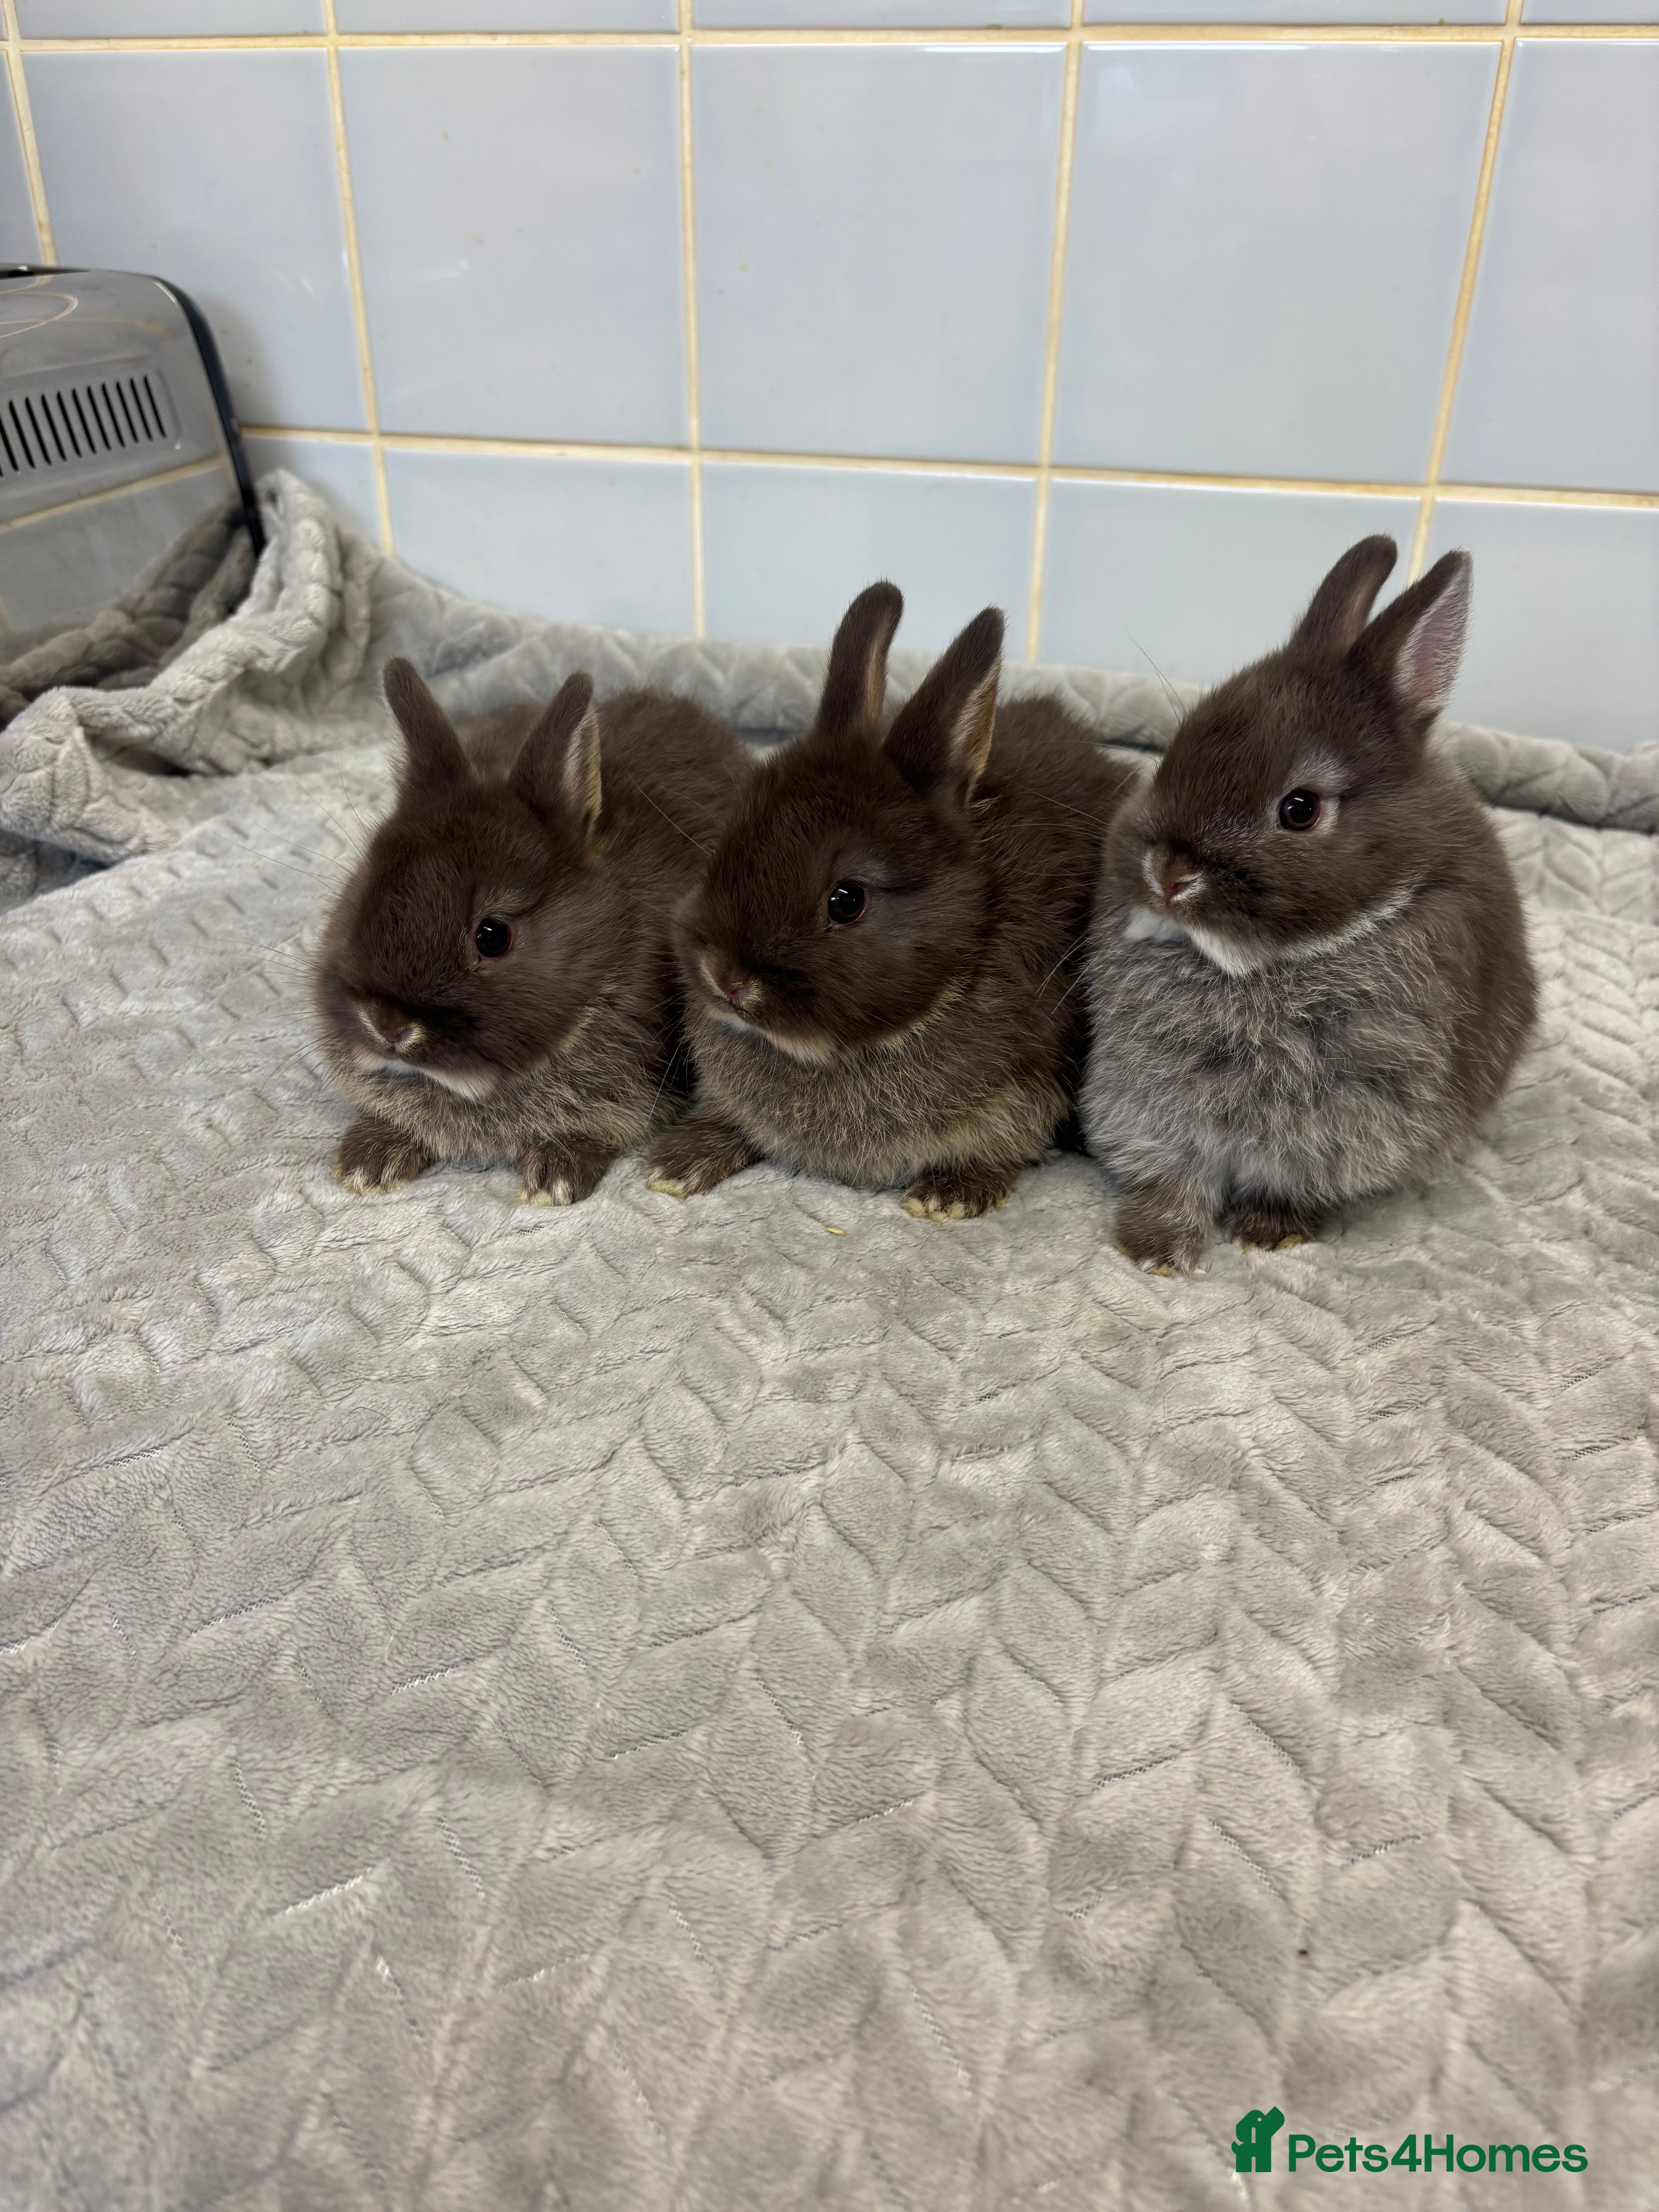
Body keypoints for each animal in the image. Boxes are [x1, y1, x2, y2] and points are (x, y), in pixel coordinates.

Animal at [644, 580, 1135, 1219]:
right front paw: (677, 1164)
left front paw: (950, 1196)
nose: (725, 979)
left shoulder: (1027, 1087)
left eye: (846, 900)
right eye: (730, 841)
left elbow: (1004, 1145)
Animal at [1080, 535, 1537, 1273]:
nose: (1168, 874)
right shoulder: (1148, 1101)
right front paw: (1154, 1248)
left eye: (1299, 809)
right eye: (1174, 752)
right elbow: (1172, 1175)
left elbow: (1292, 1177)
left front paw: (1268, 1231)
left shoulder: (1345, 1117)